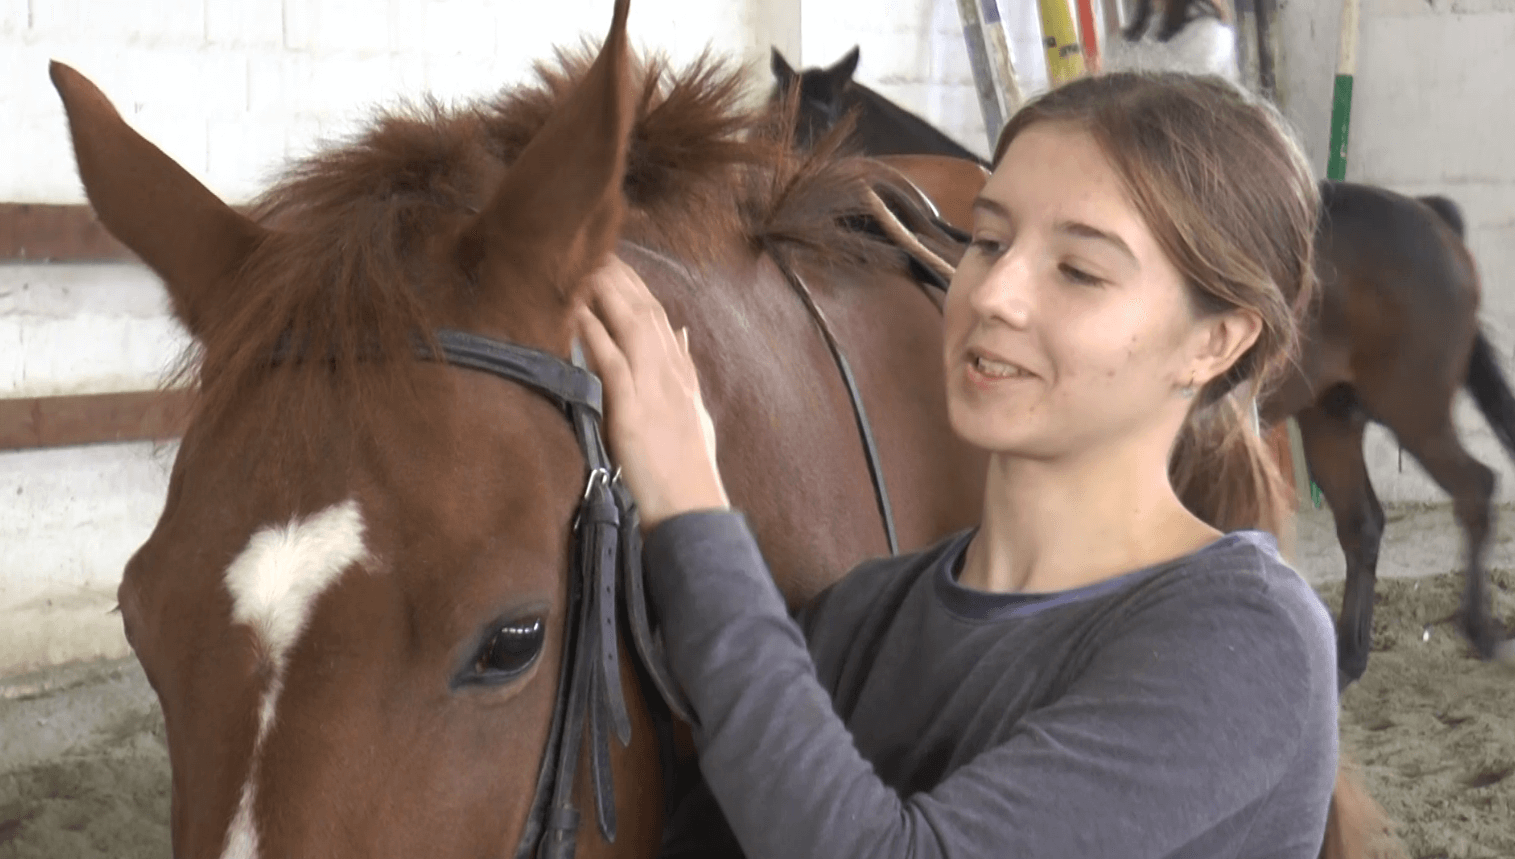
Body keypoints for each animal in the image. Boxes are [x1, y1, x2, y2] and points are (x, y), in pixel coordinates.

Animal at [775, 50, 1515, 687]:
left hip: (1411, 405)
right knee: (1363, 523)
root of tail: (1432, 217)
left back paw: (1478, 630)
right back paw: (1350, 657)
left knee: (1473, 489)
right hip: (1332, 413)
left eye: (821, 123)